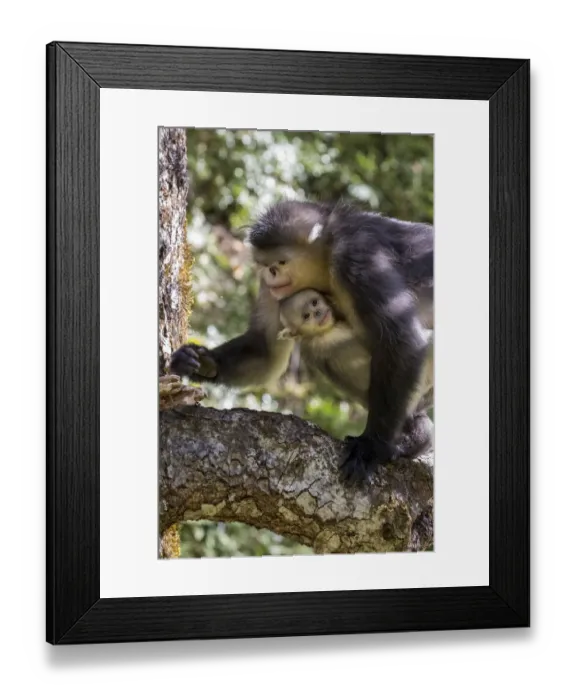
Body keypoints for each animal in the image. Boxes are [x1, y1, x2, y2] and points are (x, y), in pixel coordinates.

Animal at [170, 199, 434, 483]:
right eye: (265, 264)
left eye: (281, 261)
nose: (272, 273)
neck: (327, 255)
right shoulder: (277, 290)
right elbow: (265, 352)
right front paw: (201, 363)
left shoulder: (357, 257)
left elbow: (400, 339)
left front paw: (371, 448)